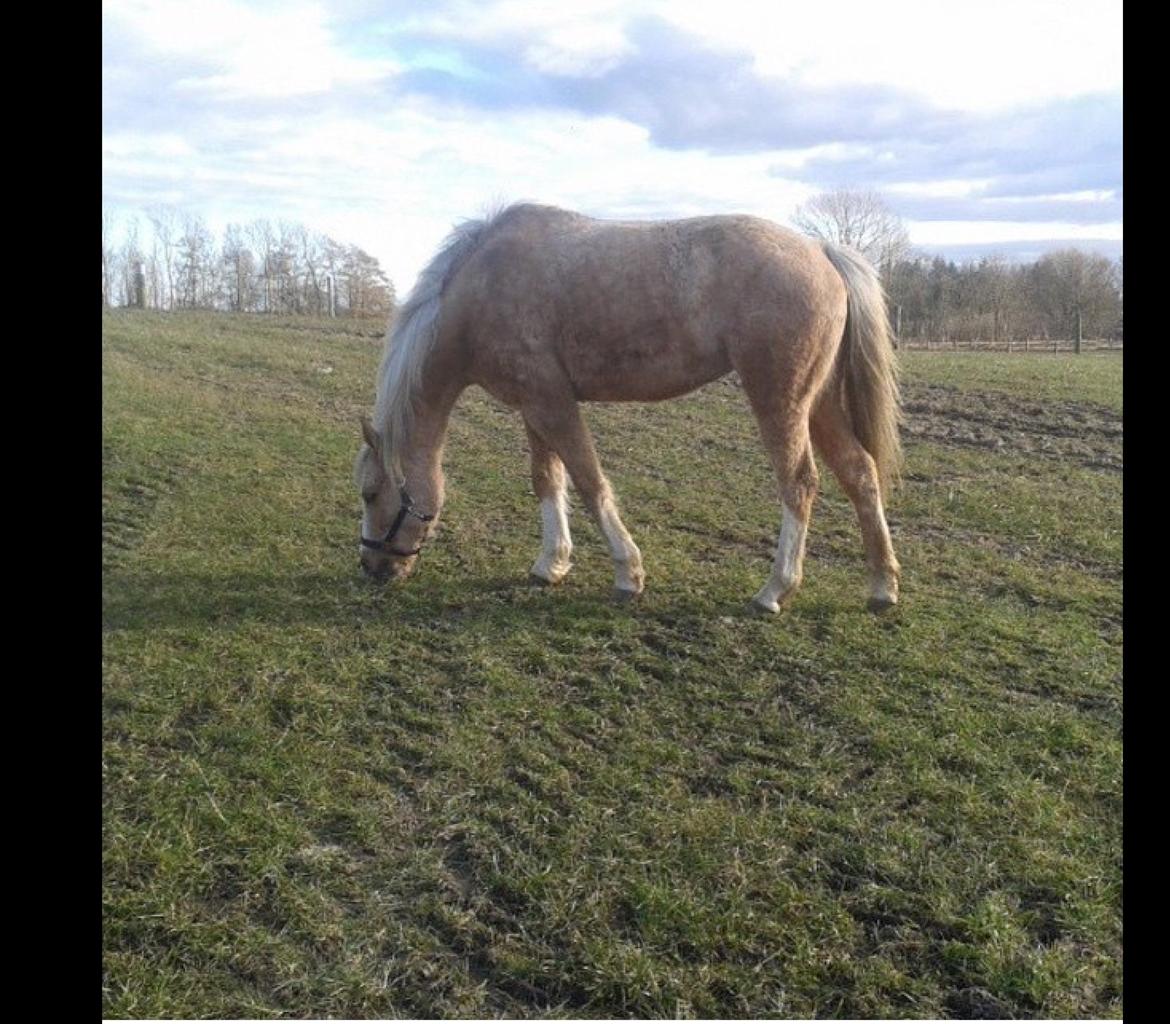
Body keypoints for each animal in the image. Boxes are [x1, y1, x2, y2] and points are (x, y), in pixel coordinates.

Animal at [351, 204, 898, 613]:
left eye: (370, 492)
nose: (372, 569)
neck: (484, 286)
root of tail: (822, 250)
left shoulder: (553, 404)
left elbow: (590, 483)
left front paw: (627, 572)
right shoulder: (533, 407)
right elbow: (547, 481)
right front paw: (551, 564)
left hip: (780, 401)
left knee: (799, 484)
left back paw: (774, 590)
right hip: (818, 403)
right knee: (859, 473)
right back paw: (882, 587)